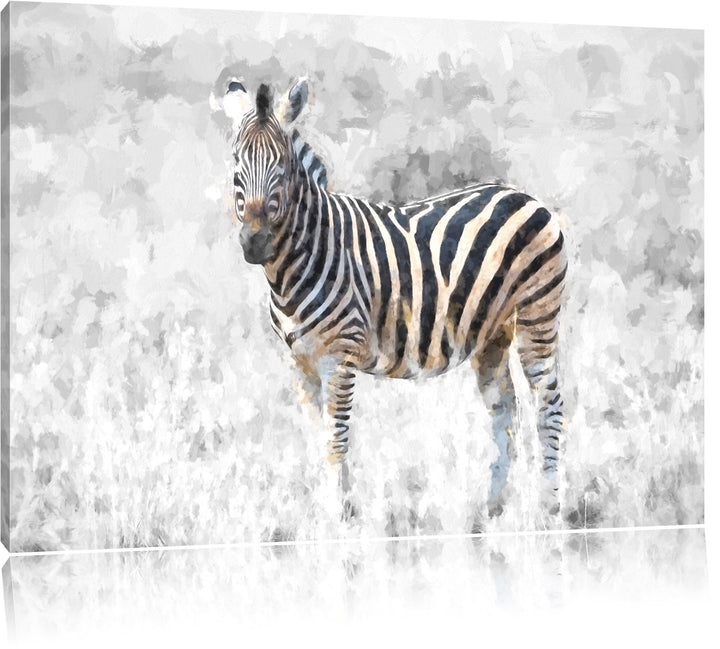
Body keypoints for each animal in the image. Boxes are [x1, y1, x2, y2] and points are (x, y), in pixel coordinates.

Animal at [222, 78, 567, 521]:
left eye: (281, 163)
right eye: (236, 161)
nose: (255, 242)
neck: (297, 259)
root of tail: (526, 196)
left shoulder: (339, 357)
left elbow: (335, 440)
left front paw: (342, 517)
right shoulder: (299, 362)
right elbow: (315, 439)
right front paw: (321, 513)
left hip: (537, 318)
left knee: (548, 403)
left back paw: (550, 507)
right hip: (492, 335)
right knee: (504, 410)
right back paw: (491, 509)